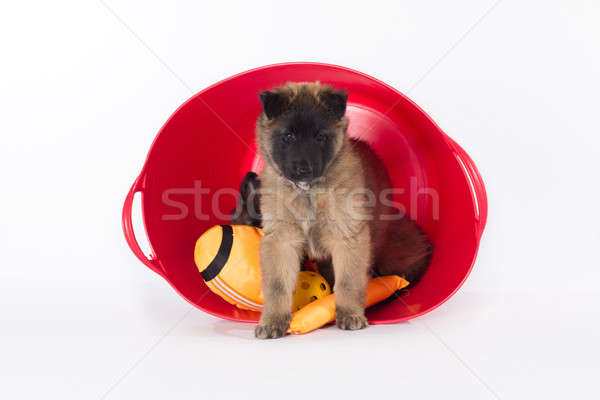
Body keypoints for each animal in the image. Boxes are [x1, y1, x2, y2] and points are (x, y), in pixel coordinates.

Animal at [244, 82, 432, 338]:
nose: (304, 169)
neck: (308, 192)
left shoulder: (348, 237)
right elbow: (277, 285)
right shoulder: (281, 240)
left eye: (320, 137)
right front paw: (273, 321)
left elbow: (348, 281)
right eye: (288, 136)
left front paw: (350, 314)